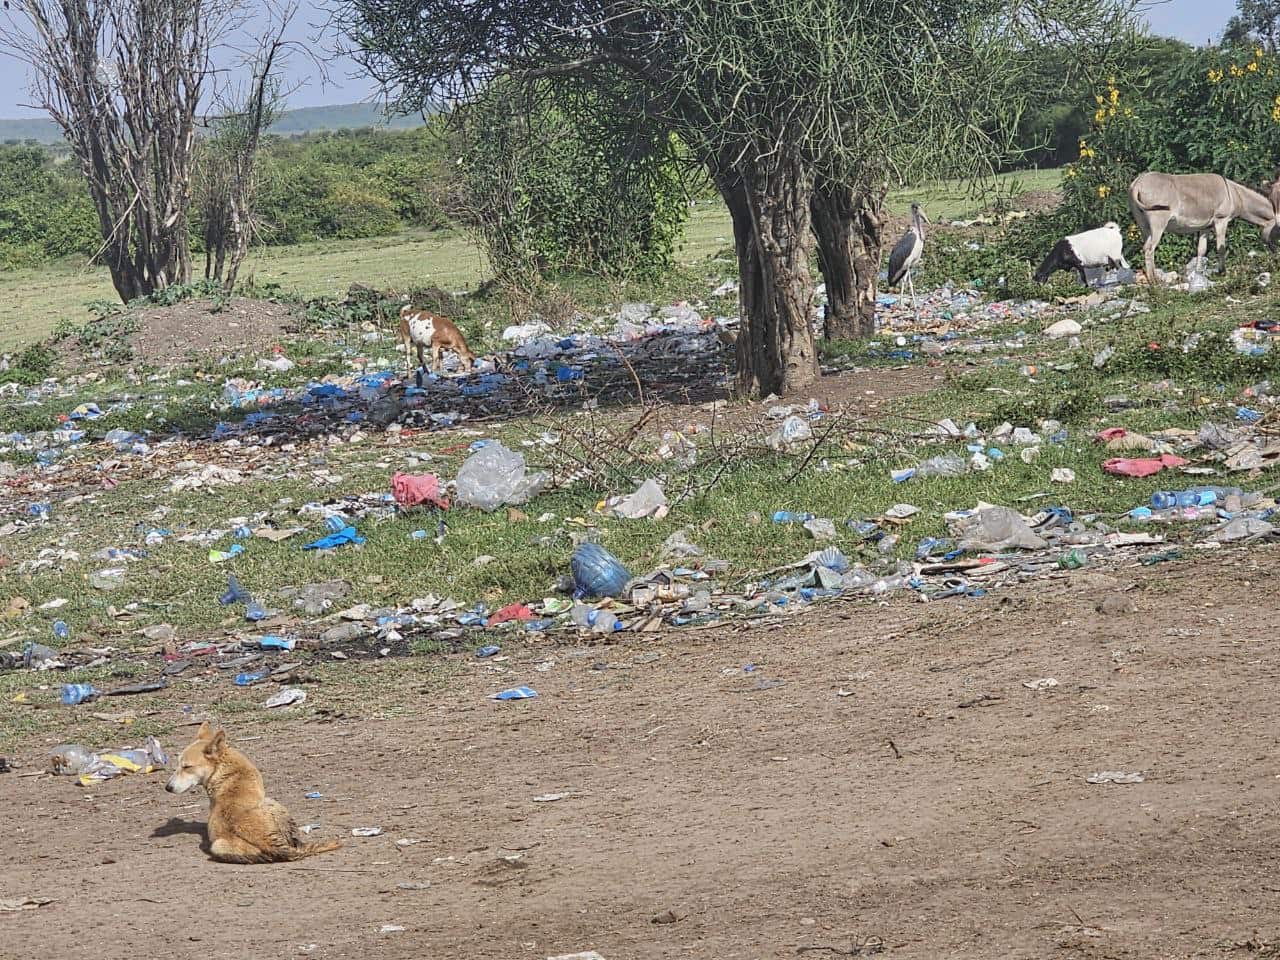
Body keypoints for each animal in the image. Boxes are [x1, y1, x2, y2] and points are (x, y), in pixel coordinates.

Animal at [165, 721, 341, 864]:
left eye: (186, 767)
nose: (167, 788)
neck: (222, 767)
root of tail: (273, 844)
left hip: (219, 846)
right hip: (272, 804)